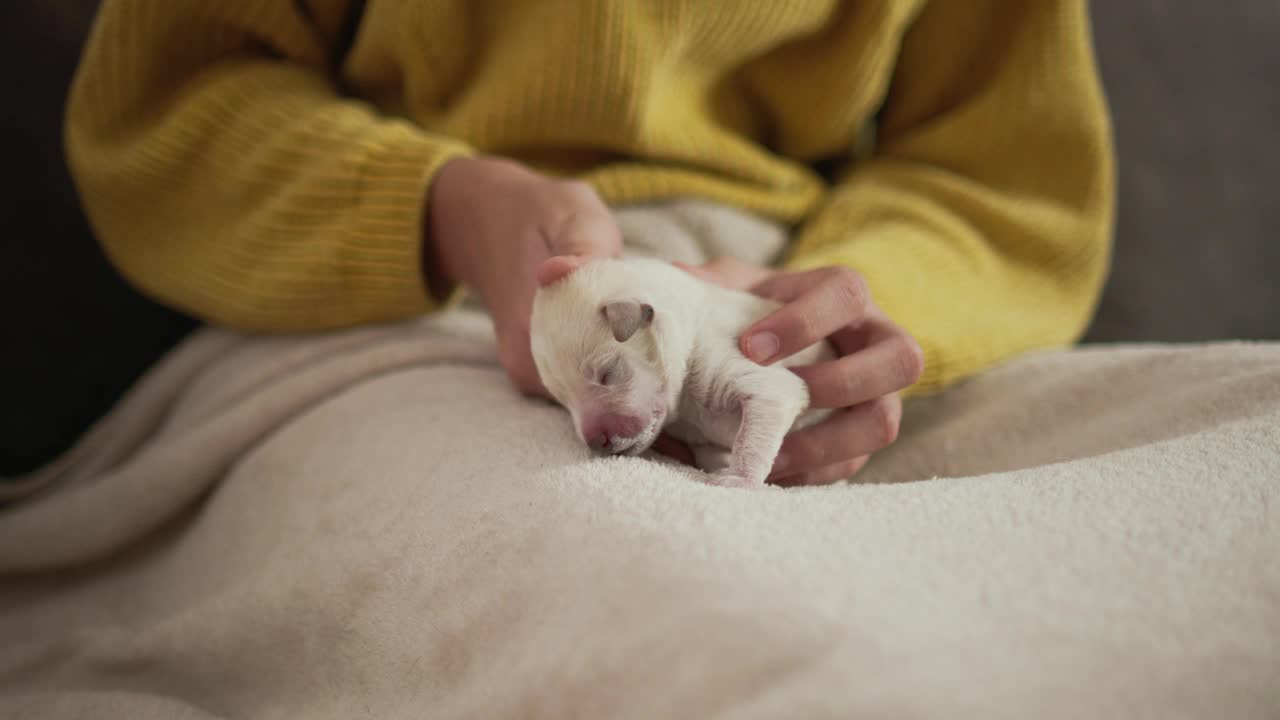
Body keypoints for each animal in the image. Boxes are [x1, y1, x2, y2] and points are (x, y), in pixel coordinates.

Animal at [527, 254, 834, 484]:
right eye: (562, 401)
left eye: (607, 373)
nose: (595, 444)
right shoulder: (703, 439)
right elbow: (715, 451)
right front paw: (722, 466)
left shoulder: (754, 375)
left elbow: (754, 435)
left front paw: (739, 480)